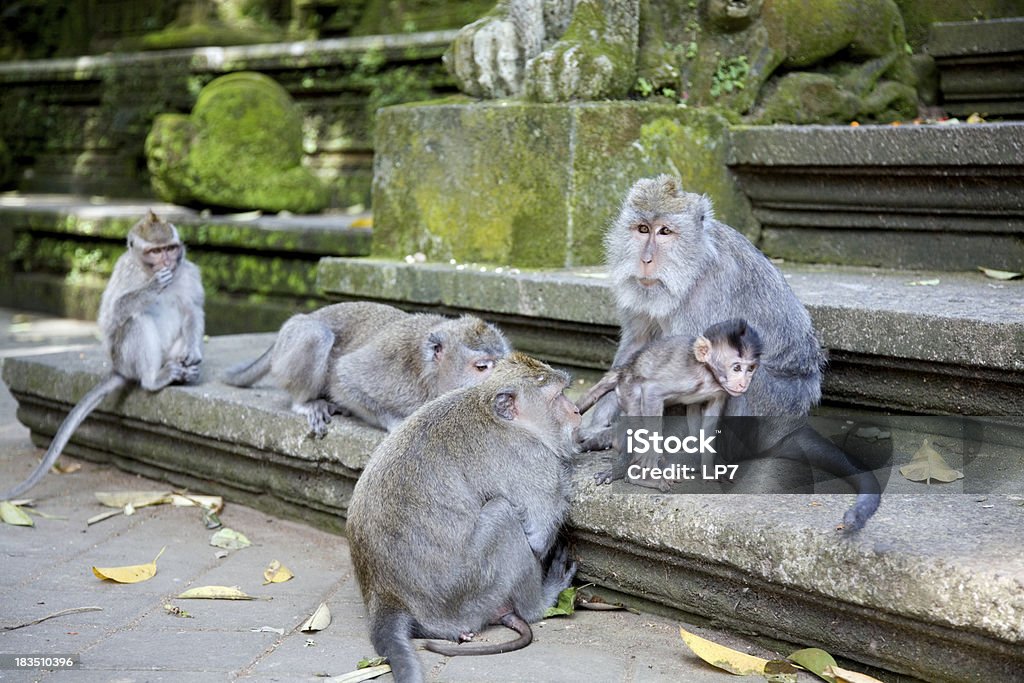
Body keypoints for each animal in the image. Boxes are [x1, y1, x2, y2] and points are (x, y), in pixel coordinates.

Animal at [0, 210, 203, 499]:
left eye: (169, 248)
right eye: (155, 251)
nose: (166, 261)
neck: (145, 270)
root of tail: (118, 368)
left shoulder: (187, 272)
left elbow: (192, 310)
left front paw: (193, 353)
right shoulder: (124, 271)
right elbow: (111, 318)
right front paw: (152, 288)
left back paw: (184, 372)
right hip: (125, 358)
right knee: (135, 321)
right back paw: (154, 379)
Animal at [224, 303, 512, 436]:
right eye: (483, 367)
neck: (429, 377)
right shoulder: (392, 368)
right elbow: (344, 378)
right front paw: (398, 422)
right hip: (292, 340)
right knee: (317, 334)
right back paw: (305, 403)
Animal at [348, 352, 581, 683]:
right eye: (557, 396)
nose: (576, 411)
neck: (490, 410)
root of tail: (384, 595)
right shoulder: (532, 458)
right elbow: (536, 536)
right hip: (467, 591)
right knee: (503, 515)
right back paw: (541, 602)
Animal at [577, 317, 761, 489]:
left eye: (750, 369)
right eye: (736, 368)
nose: (744, 383)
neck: (708, 373)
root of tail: (625, 368)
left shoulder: (719, 392)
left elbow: (709, 419)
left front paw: (709, 470)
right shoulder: (686, 376)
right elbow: (652, 391)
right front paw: (650, 465)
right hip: (626, 388)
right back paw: (632, 473)